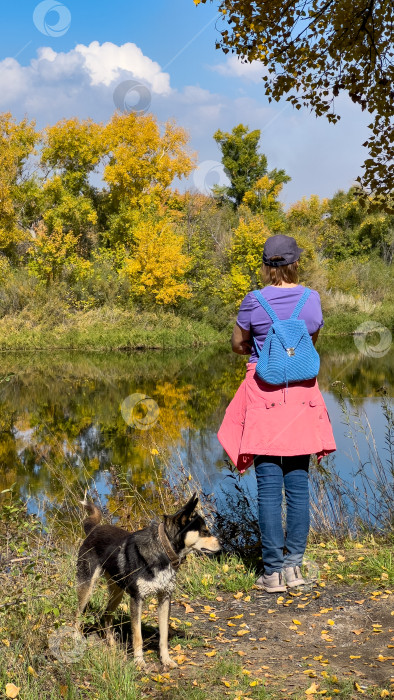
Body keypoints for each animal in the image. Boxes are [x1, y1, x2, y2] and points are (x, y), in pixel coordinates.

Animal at [75, 492, 220, 668]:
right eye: (205, 532)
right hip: (87, 586)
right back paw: (76, 638)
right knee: (77, 614)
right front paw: (139, 661)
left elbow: (163, 635)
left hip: (117, 592)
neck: (163, 550)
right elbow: (138, 636)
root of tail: (94, 529)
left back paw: (112, 645)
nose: (221, 544)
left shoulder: (165, 598)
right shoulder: (137, 599)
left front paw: (166, 660)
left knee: (106, 615)